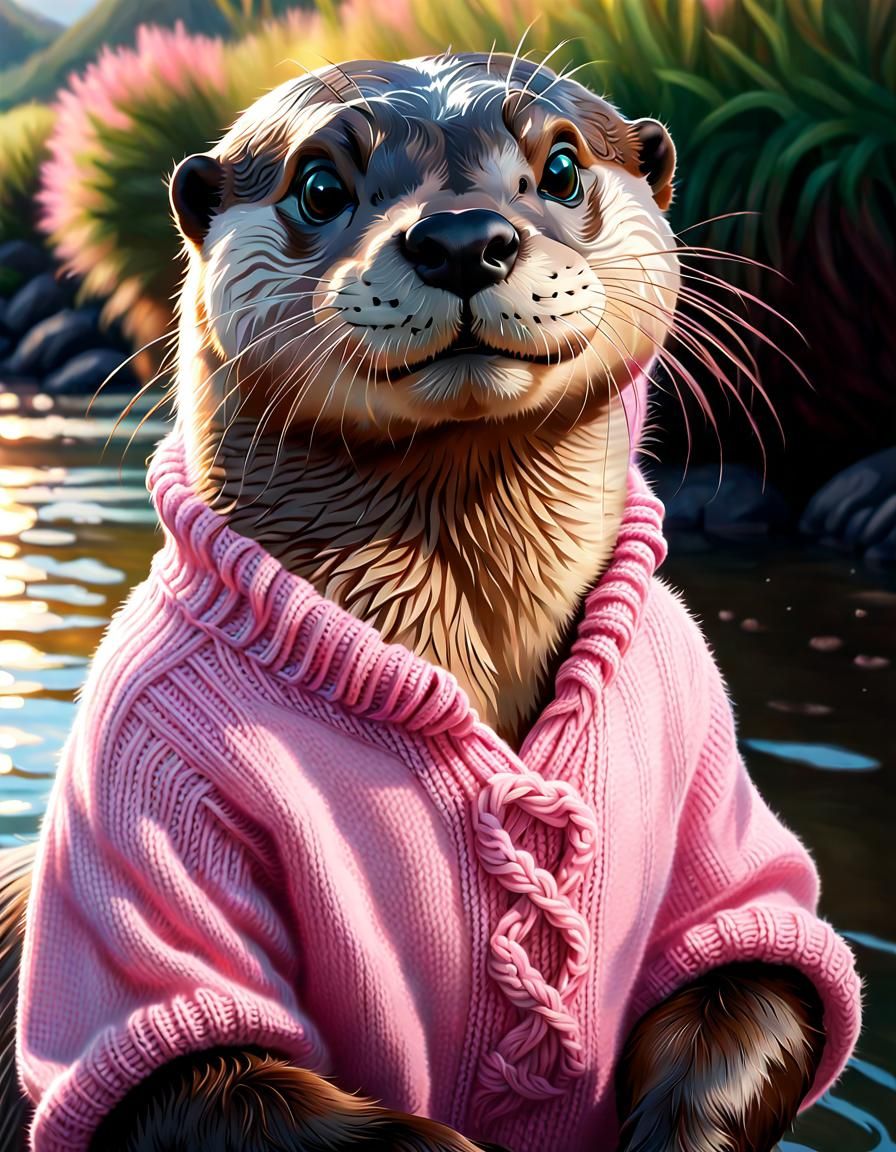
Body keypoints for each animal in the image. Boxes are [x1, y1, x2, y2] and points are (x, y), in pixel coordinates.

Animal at [6, 53, 859, 1152]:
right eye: (318, 186)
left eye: (562, 166)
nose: (459, 237)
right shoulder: (142, 813)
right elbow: (212, 1079)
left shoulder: (706, 766)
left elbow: (755, 969)